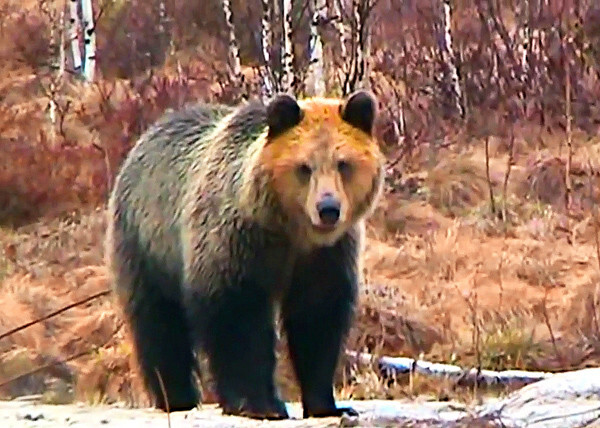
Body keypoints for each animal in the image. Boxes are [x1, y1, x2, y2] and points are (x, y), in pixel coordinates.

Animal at [104, 88, 384, 420]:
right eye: (304, 167)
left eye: (343, 163)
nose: (328, 208)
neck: (289, 230)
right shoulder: (236, 243)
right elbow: (238, 321)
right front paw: (259, 403)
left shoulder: (325, 256)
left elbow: (317, 319)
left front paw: (327, 404)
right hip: (147, 245)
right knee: (159, 323)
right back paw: (176, 395)